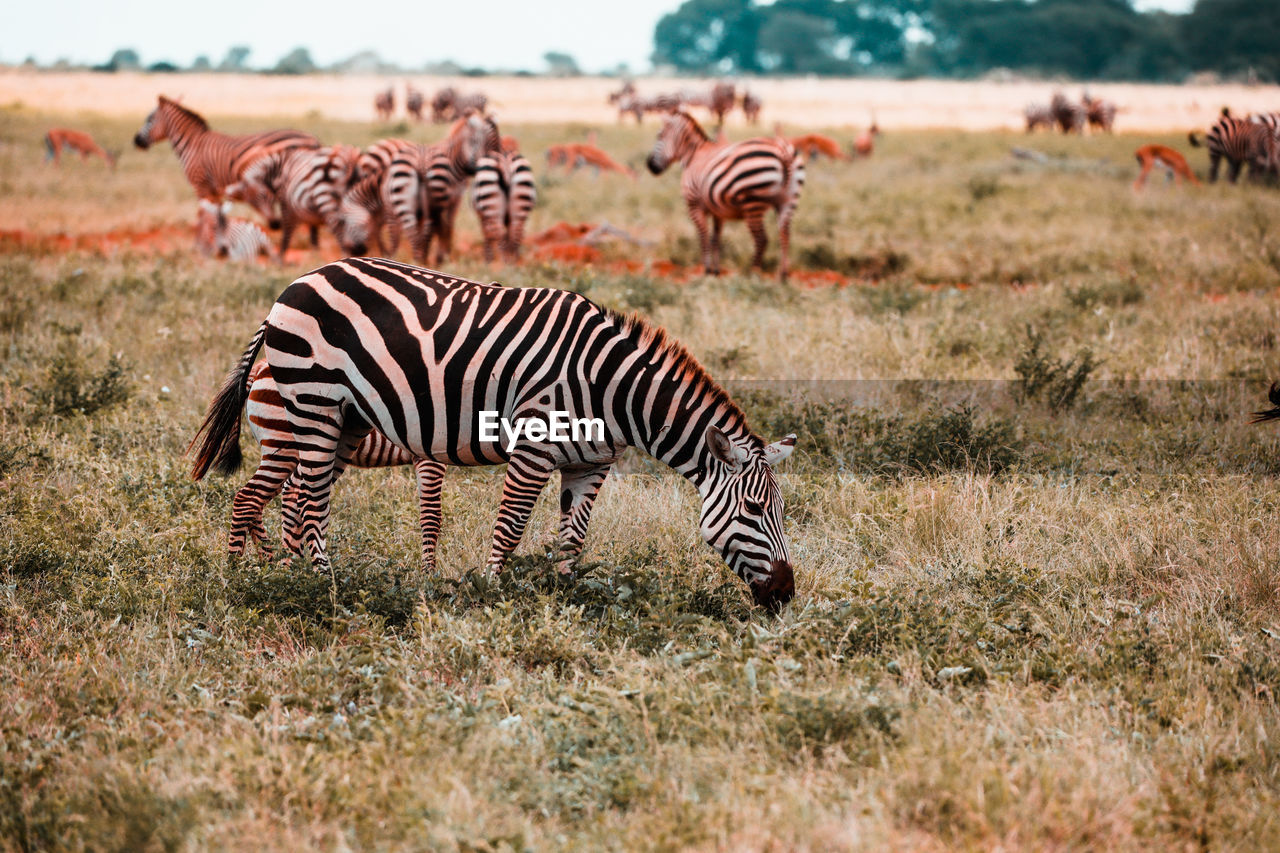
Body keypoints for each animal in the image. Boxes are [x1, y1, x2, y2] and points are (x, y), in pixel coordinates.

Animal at [131, 94, 320, 204]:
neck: (191, 143)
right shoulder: (213, 191)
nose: (136, 141)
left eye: (149, 119)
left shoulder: (201, 186)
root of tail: (312, 138)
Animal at [226, 145, 360, 258]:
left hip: (325, 198)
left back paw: (346, 256)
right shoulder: (309, 209)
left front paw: (281, 260)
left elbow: (287, 233)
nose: (274, 225)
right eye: (252, 204)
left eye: (265, 194)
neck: (279, 168)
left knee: (340, 231)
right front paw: (315, 255)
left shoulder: (287, 204)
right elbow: (314, 233)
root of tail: (348, 161)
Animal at [645, 108, 803, 281]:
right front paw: (716, 271)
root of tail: (782, 150)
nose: (649, 165)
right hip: (788, 201)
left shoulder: (694, 205)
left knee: (762, 239)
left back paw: (752, 274)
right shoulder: (717, 211)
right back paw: (783, 275)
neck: (693, 155)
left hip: (752, 203)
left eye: (659, 136)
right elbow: (715, 239)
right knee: (785, 234)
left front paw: (707, 270)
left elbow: (703, 237)